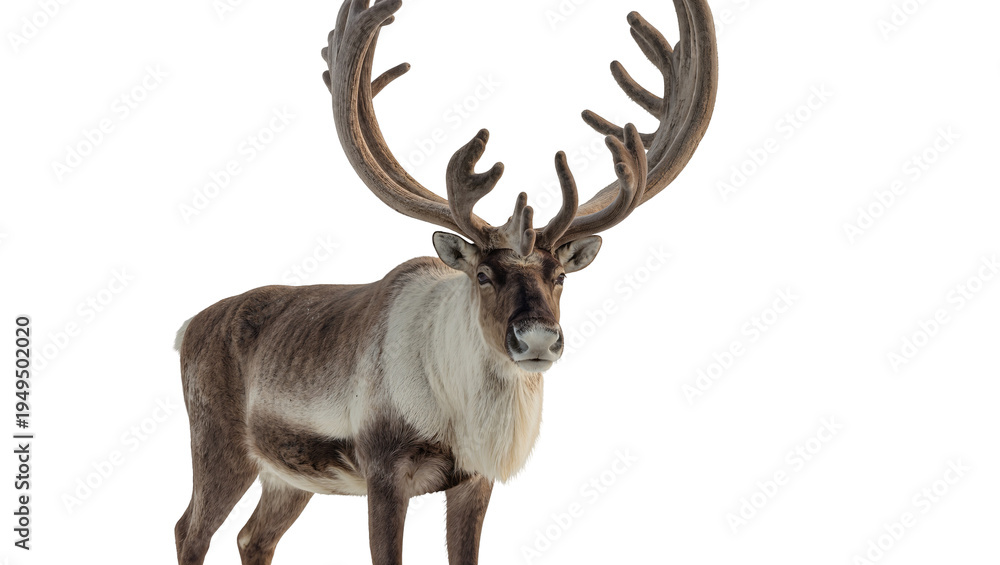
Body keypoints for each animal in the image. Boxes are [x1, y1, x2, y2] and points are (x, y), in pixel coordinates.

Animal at [173, 0, 717, 563]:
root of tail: (187, 328)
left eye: (561, 275)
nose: (537, 339)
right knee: (190, 529)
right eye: (482, 275)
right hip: (218, 444)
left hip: (289, 476)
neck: (460, 416)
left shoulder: (474, 480)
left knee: (253, 536)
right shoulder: (385, 471)